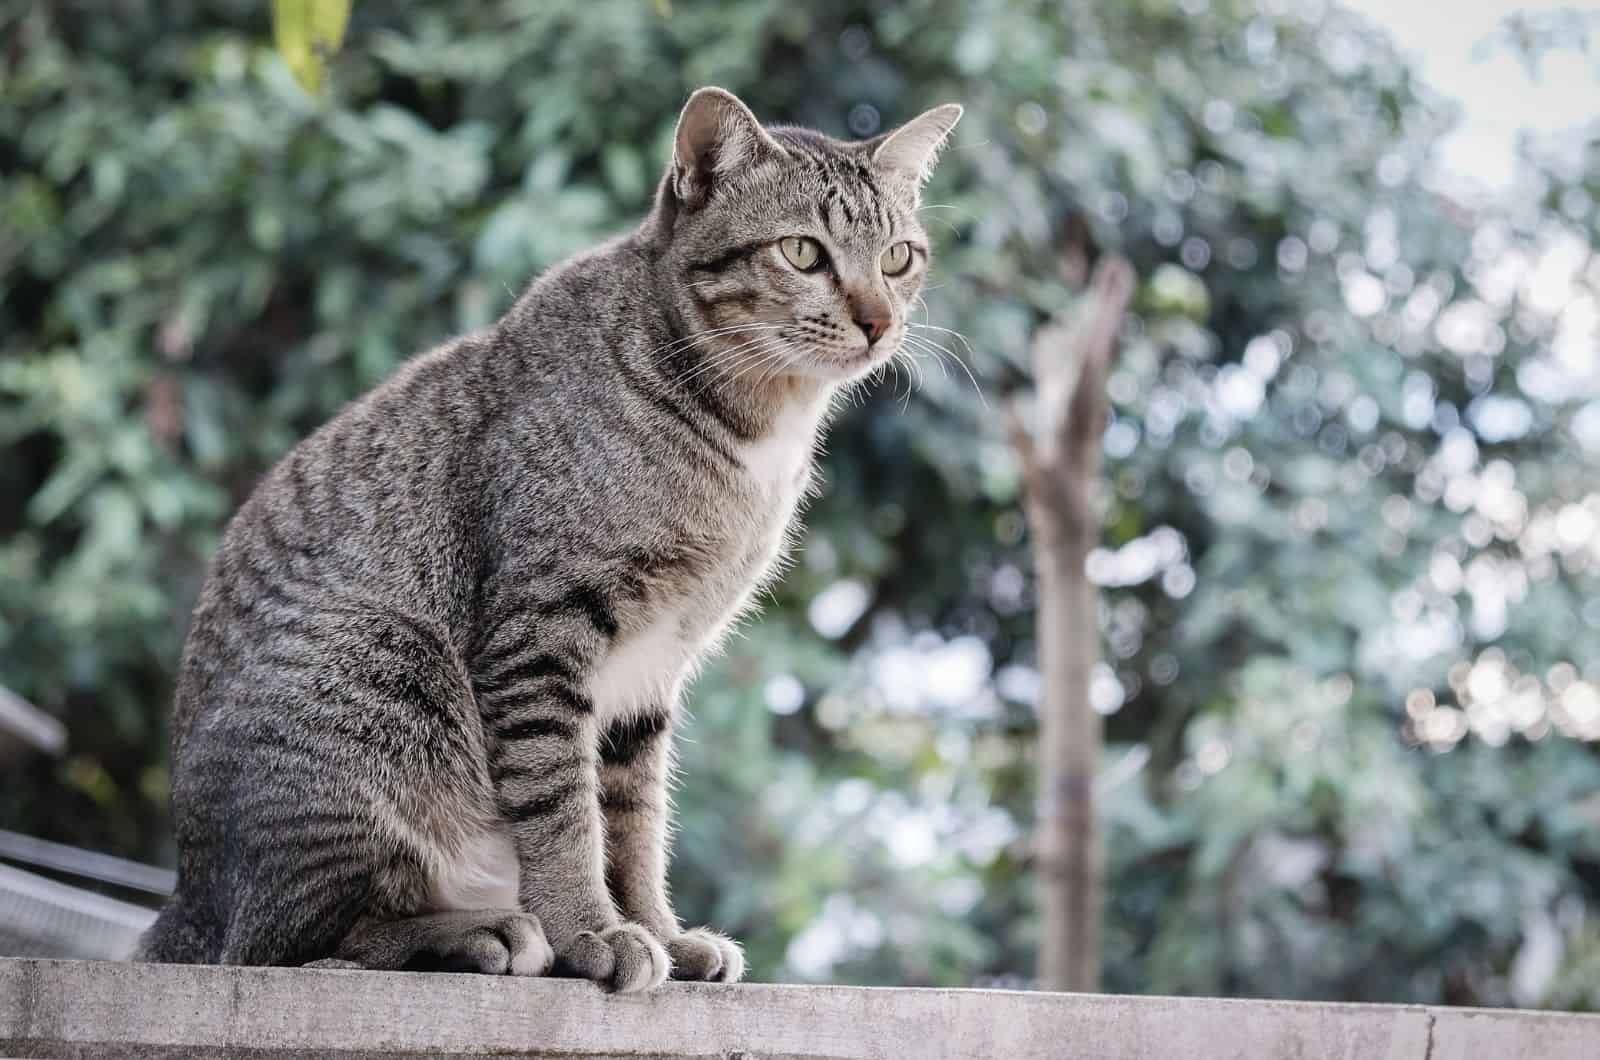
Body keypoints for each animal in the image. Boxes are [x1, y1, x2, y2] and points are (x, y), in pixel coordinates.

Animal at [137, 87, 953, 992]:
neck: (754, 429)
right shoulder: (541, 630)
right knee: (296, 942)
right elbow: (564, 812)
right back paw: (479, 932)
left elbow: (634, 822)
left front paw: (659, 930)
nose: (879, 322)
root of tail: (185, 900)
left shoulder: (651, 671)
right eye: (803, 252)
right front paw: (591, 930)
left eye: (900, 257)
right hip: (383, 669)